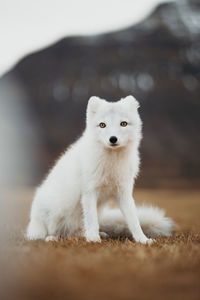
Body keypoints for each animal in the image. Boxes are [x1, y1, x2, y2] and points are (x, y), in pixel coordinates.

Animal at [26, 96, 173, 244]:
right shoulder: (89, 192)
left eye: (123, 124)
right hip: (54, 211)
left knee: (75, 232)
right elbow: (92, 220)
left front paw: (143, 239)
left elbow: (134, 221)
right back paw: (51, 237)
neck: (111, 163)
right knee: (46, 232)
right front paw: (93, 239)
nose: (113, 139)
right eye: (102, 125)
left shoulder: (124, 192)